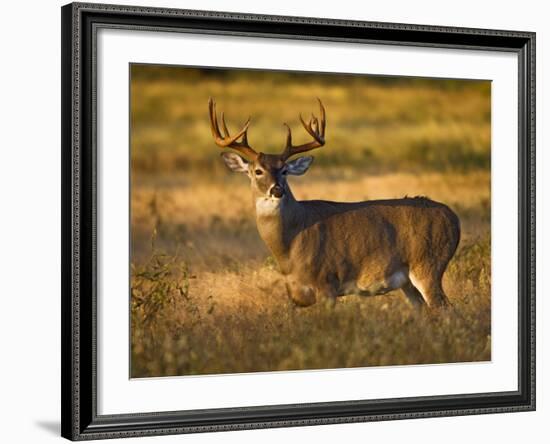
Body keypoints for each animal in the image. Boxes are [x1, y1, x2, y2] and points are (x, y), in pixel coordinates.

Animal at [209, 97, 464, 308]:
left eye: (284, 170)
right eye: (258, 171)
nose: (277, 189)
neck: (290, 244)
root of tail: (454, 218)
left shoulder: (326, 282)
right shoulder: (296, 295)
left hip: (428, 264)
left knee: (446, 309)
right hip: (407, 282)